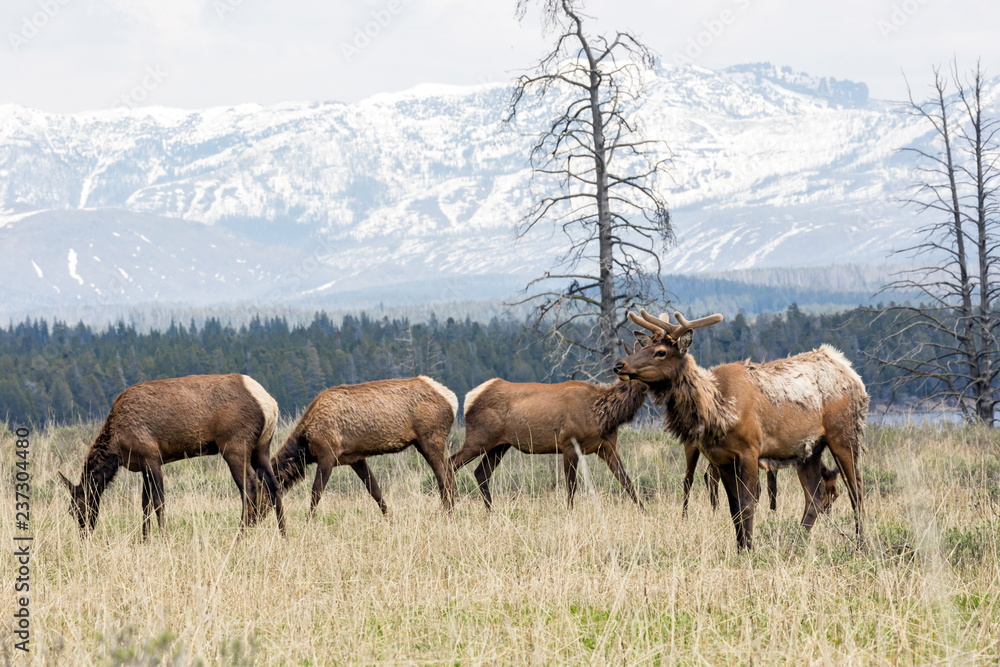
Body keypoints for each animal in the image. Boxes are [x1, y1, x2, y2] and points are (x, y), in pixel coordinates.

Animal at [57, 374, 285, 539]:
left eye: (77, 509)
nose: (83, 537)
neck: (116, 448)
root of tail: (270, 404)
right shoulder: (143, 463)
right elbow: (145, 504)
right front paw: (145, 540)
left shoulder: (151, 456)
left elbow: (159, 501)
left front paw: (164, 539)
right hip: (262, 446)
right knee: (274, 484)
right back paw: (283, 535)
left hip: (235, 445)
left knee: (250, 487)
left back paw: (240, 536)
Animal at [268, 376, 458, 518]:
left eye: (263, 487)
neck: (305, 446)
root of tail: (452, 399)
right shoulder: (355, 458)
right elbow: (375, 491)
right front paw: (390, 520)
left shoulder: (327, 454)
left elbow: (316, 493)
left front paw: (308, 523)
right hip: (422, 442)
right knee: (449, 470)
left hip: (431, 438)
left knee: (444, 476)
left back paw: (447, 515)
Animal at [449, 378, 649, 510]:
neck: (601, 415)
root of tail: (469, 398)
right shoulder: (568, 444)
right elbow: (571, 485)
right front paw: (569, 514)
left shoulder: (607, 446)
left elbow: (626, 480)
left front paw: (644, 512)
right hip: (479, 438)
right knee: (451, 463)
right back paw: (450, 508)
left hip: (500, 445)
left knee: (481, 472)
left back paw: (490, 512)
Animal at [614, 309, 868, 550]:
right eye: (645, 346)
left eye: (661, 352)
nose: (619, 365)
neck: (718, 411)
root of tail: (851, 372)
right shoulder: (722, 459)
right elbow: (734, 508)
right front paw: (740, 548)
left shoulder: (750, 450)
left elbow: (747, 505)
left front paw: (749, 550)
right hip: (808, 450)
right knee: (815, 497)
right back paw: (795, 545)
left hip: (844, 434)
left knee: (856, 491)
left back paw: (860, 547)